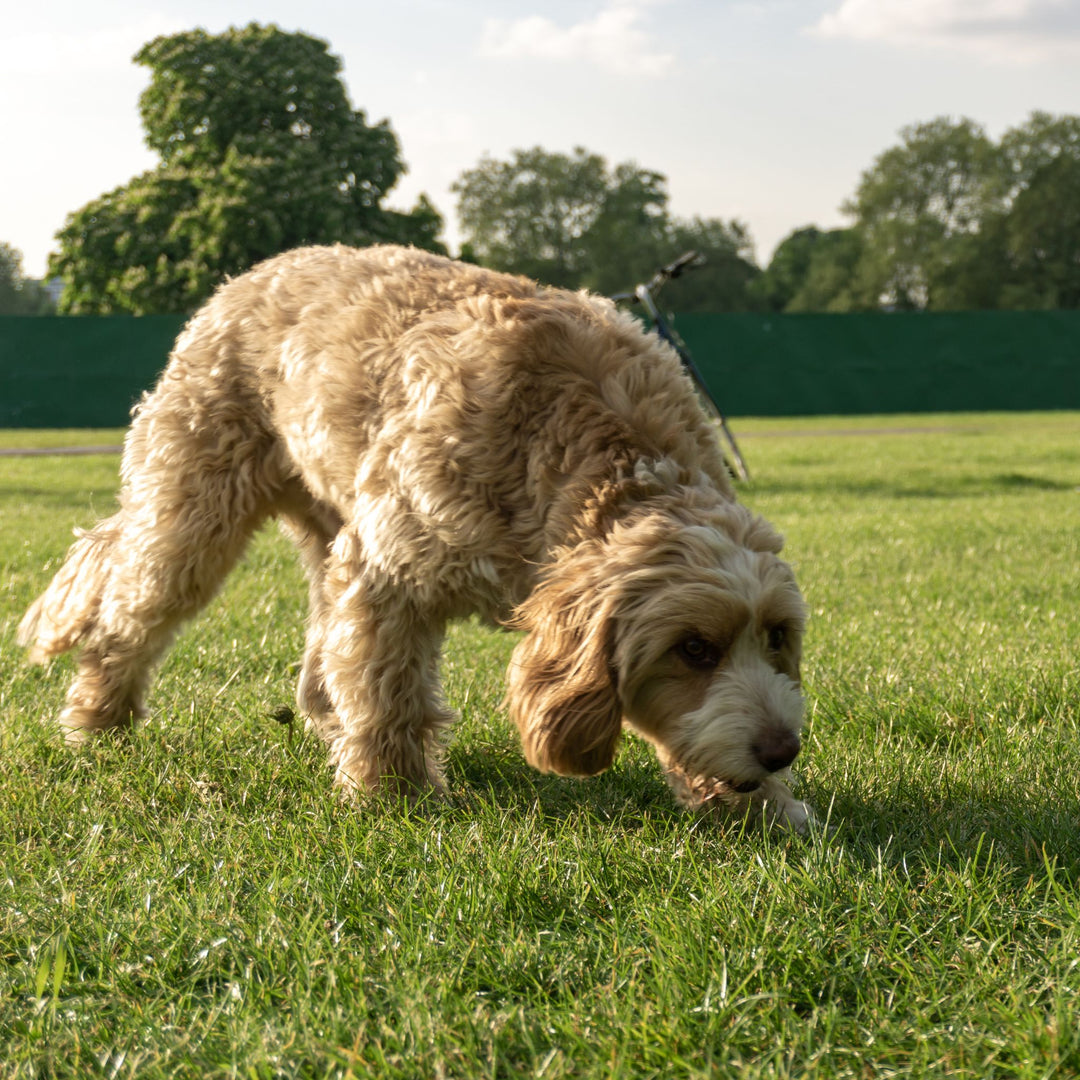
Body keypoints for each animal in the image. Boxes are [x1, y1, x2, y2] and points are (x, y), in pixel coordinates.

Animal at [19, 245, 812, 829]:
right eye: (693, 649)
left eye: (777, 636)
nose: (782, 750)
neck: (600, 451)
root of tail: (239, 278)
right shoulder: (389, 568)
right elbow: (389, 685)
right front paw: (394, 793)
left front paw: (762, 810)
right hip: (194, 511)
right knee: (131, 612)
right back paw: (99, 719)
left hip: (325, 530)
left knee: (318, 651)